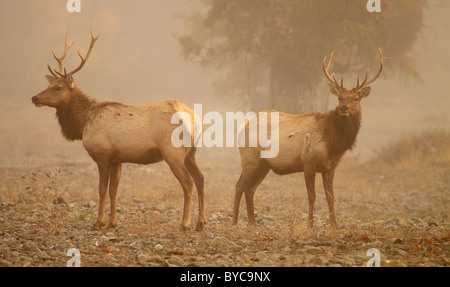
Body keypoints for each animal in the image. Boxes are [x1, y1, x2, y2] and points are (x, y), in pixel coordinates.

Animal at [31, 30, 206, 232]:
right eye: (49, 85)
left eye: (58, 87)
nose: (35, 97)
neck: (83, 123)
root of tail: (194, 118)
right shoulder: (117, 159)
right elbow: (114, 190)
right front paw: (112, 222)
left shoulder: (103, 155)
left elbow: (101, 190)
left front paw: (98, 222)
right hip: (191, 153)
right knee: (201, 178)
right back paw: (201, 222)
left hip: (173, 152)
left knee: (188, 182)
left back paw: (185, 223)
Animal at [232, 45, 386, 230]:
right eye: (339, 97)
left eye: (356, 98)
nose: (343, 108)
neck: (333, 144)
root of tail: (243, 125)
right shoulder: (308, 162)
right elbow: (312, 196)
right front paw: (310, 225)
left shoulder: (330, 168)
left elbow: (331, 197)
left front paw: (334, 225)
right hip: (250, 157)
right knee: (239, 186)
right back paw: (233, 222)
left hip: (264, 164)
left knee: (250, 189)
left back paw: (252, 222)